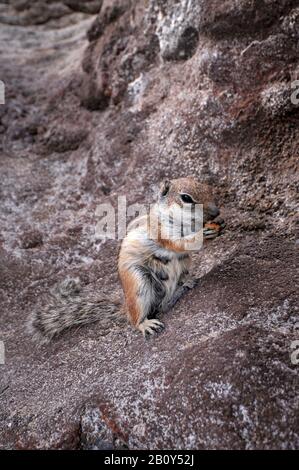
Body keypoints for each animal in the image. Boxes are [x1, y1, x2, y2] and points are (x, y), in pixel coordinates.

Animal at [28, 177, 225, 342]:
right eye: (186, 198)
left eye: (207, 187)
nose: (217, 211)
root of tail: (126, 308)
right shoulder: (162, 233)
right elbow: (181, 243)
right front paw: (203, 233)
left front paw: (219, 224)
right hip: (138, 283)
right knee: (141, 316)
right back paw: (146, 323)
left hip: (184, 263)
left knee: (165, 302)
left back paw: (186, 283)